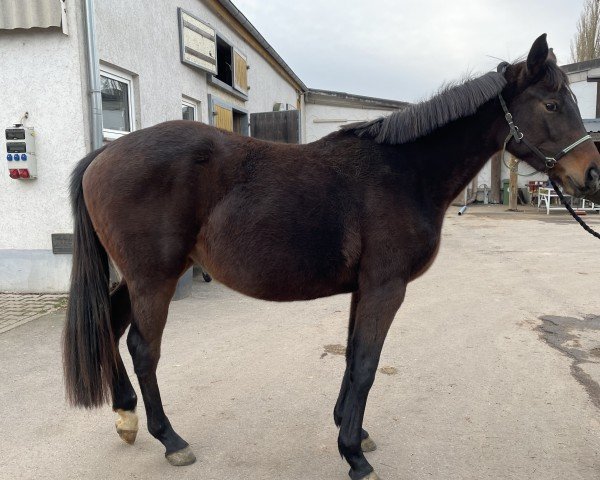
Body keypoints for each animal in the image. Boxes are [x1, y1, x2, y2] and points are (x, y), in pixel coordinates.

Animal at [62, 34, 600, 480]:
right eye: (552, 103)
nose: (591, 174)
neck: (404, 172)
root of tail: (103, 155)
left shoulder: (364, 288)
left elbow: (351, 356)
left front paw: (352, 430)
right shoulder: (386, 286)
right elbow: (365, 362)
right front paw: (355, 457)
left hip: (141, 278)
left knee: (110, 326)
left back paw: (126, 415)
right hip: (155, 278)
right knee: (143, 349)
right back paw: (171, 439)